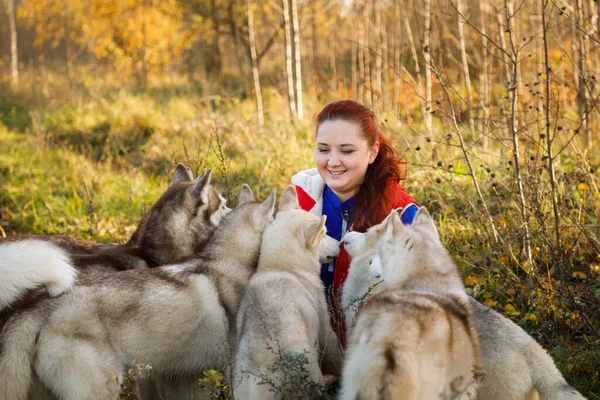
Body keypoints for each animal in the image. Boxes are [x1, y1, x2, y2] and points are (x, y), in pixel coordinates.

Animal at [0, 185, 276, 400]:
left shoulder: (182, 375)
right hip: (101, 390)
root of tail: (35, 308)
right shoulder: (232, 371)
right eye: (223, 205)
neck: (226, 262)